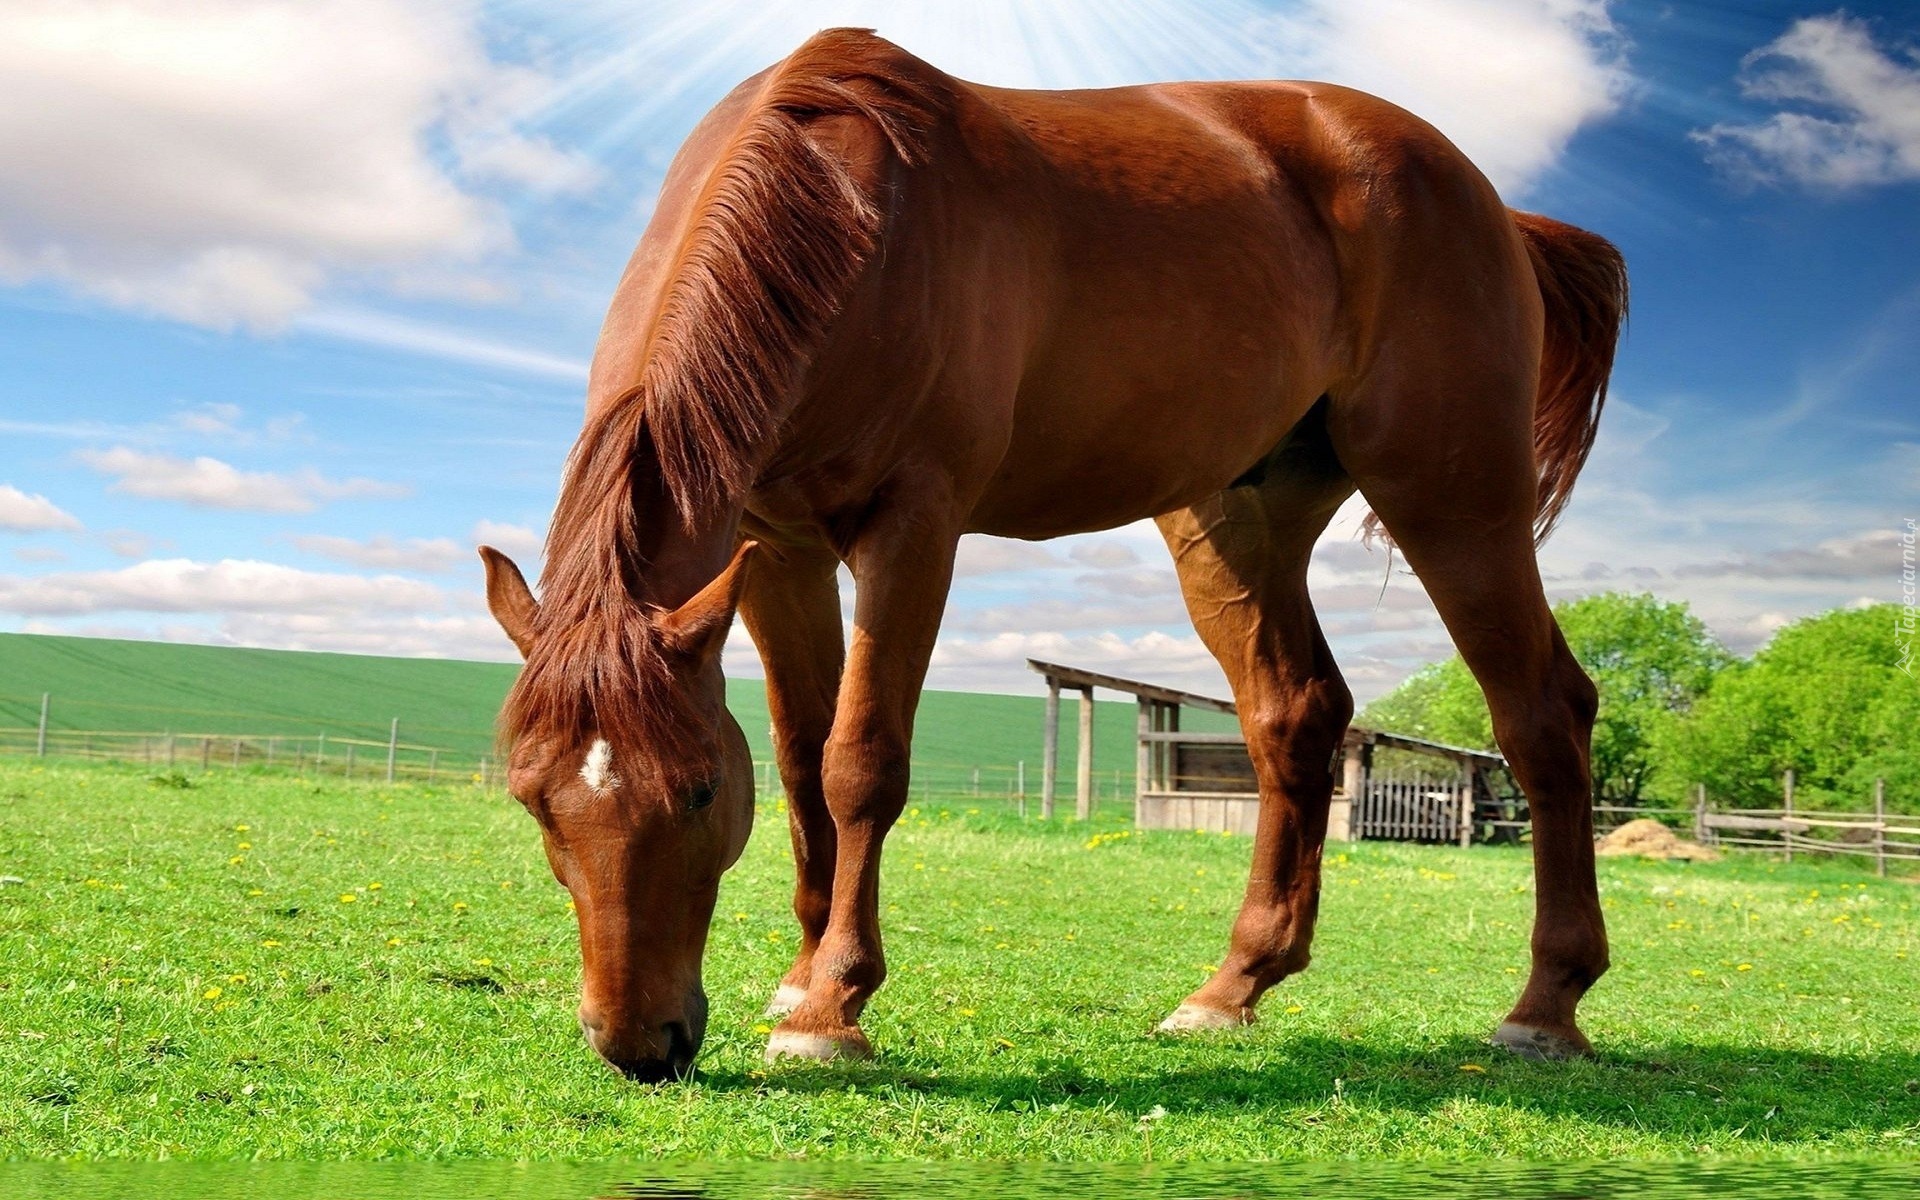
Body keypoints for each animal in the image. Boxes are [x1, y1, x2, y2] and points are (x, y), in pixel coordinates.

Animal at [476, 28, 1620, 1082]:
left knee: (1542, 714)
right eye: (533, 799)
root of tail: (1494, 208)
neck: (854, 221)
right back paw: (1232, 989)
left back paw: (1546, 1005)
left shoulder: (913, 525)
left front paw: (832, 1008)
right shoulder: (775, 549)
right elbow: (802, 767)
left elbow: (859, 763)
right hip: (1239, 520)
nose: (639, 1045)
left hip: (1454, 497)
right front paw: (801, 979)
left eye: (702, 793)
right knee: (1296, 716)